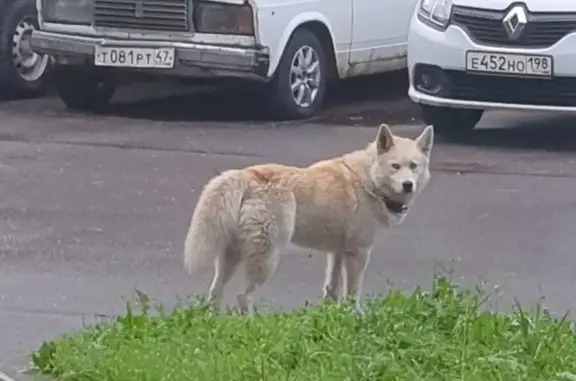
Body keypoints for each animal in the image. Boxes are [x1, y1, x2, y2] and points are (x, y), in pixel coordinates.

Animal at [183, 124, 432, 312]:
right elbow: (352, 293)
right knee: (242, 296)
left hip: (232, 258)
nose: (408, 185)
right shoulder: (358, 253)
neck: (369, 180)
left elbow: (331, 289)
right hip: (267, 259)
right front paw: (355, 317)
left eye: (414, 166)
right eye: (395, 166)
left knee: (215, 292)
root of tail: (246, 174)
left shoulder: (337, 252)